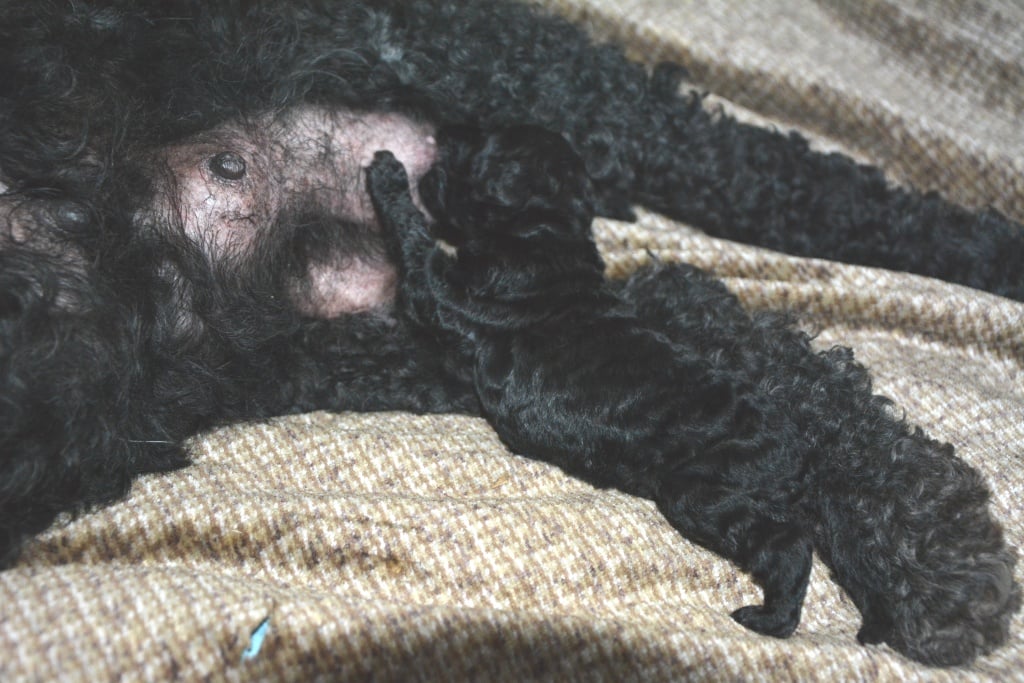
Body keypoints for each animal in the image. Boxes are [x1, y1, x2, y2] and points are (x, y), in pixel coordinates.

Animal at [364, 125, 1020, 667]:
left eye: (472, 153)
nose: (435, 147)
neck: (545, 229)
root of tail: (804, 466)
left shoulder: (450, 296)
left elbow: (417, 250)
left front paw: (387, 177)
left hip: (701, 493)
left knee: (788, 546)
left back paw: (769, 619)